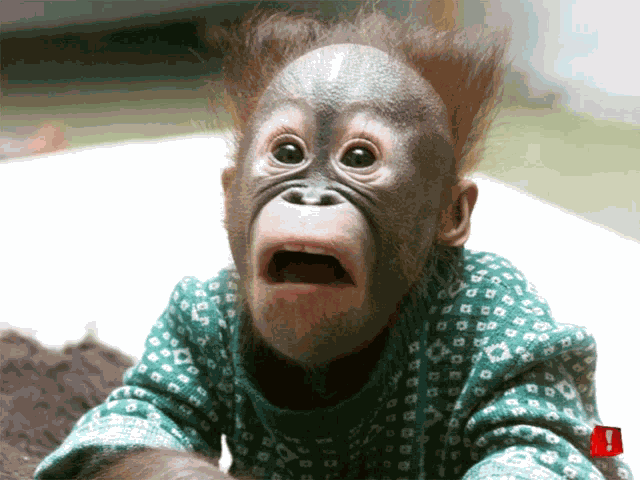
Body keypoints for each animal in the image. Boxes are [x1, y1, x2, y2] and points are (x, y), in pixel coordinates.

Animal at [33, 4, 634, 480]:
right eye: (288, 153)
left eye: (359, 158)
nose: (312, 197)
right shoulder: (190, 317)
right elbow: (136, 420)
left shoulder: (507, 316)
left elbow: (534, 438)